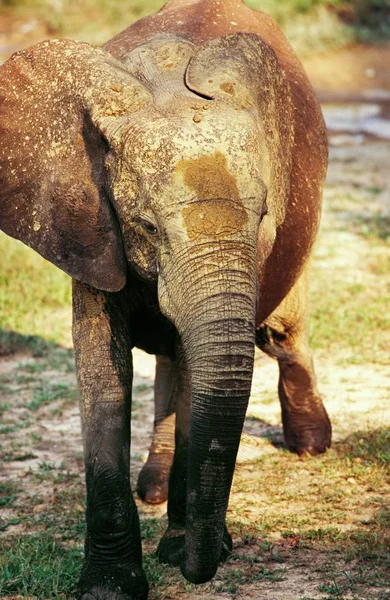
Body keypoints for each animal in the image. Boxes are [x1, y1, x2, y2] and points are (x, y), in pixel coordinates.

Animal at [0, 1, 332, 600]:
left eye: (263, 218)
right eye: (147, 225)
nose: (210, 556)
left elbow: (200, 367)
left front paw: (180, 551)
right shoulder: (90, 228)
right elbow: (103, 375)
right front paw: (110, 586)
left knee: (281, 332)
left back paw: (312, 446)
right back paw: (151, 488)